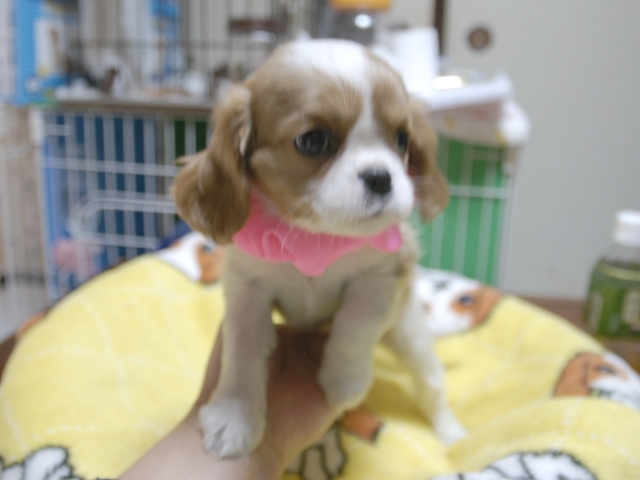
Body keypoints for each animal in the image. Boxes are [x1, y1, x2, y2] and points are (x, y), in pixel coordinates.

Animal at [173, 39, 465, 458]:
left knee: (432, 387)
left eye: (402, 139)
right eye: (313, 141)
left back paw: (452, 436)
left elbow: (354, 326)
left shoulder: (379, 277)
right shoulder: (247, 290)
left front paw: (344, 382)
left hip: (410, 335)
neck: (315, 237)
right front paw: (234, 417)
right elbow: (242, 351)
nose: (381, 177)